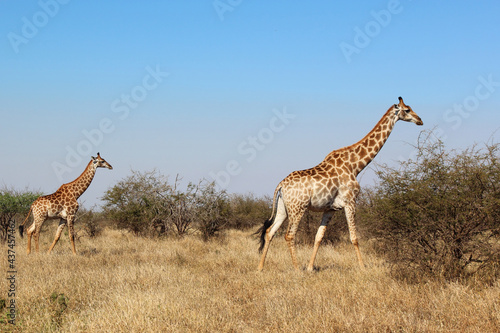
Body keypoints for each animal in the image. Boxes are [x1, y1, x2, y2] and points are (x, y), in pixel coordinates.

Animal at [258, 96, 422, 270]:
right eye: (407, 110)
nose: (420, 120)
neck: (355, 166)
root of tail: (280, 185)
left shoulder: (330, 208)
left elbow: (319, 237)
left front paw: (310, 268)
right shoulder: (351, 202)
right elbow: (354, 237)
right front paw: (362, 267)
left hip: (284, 208)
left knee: (270, 232)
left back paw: (260, 267)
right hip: (298, 208)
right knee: (289, 235)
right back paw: (296, 269)